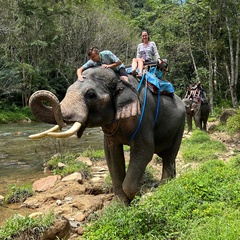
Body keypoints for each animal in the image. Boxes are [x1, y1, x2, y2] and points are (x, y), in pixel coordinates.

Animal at [28, 67, 186, 204]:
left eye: (91, 95)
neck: (119, 80)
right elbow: (111, 154)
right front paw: (120, 203)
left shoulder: (144, 115)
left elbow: (144, 151)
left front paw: (139, 194)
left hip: (180, 125)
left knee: (169, 155)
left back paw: (164, 185)